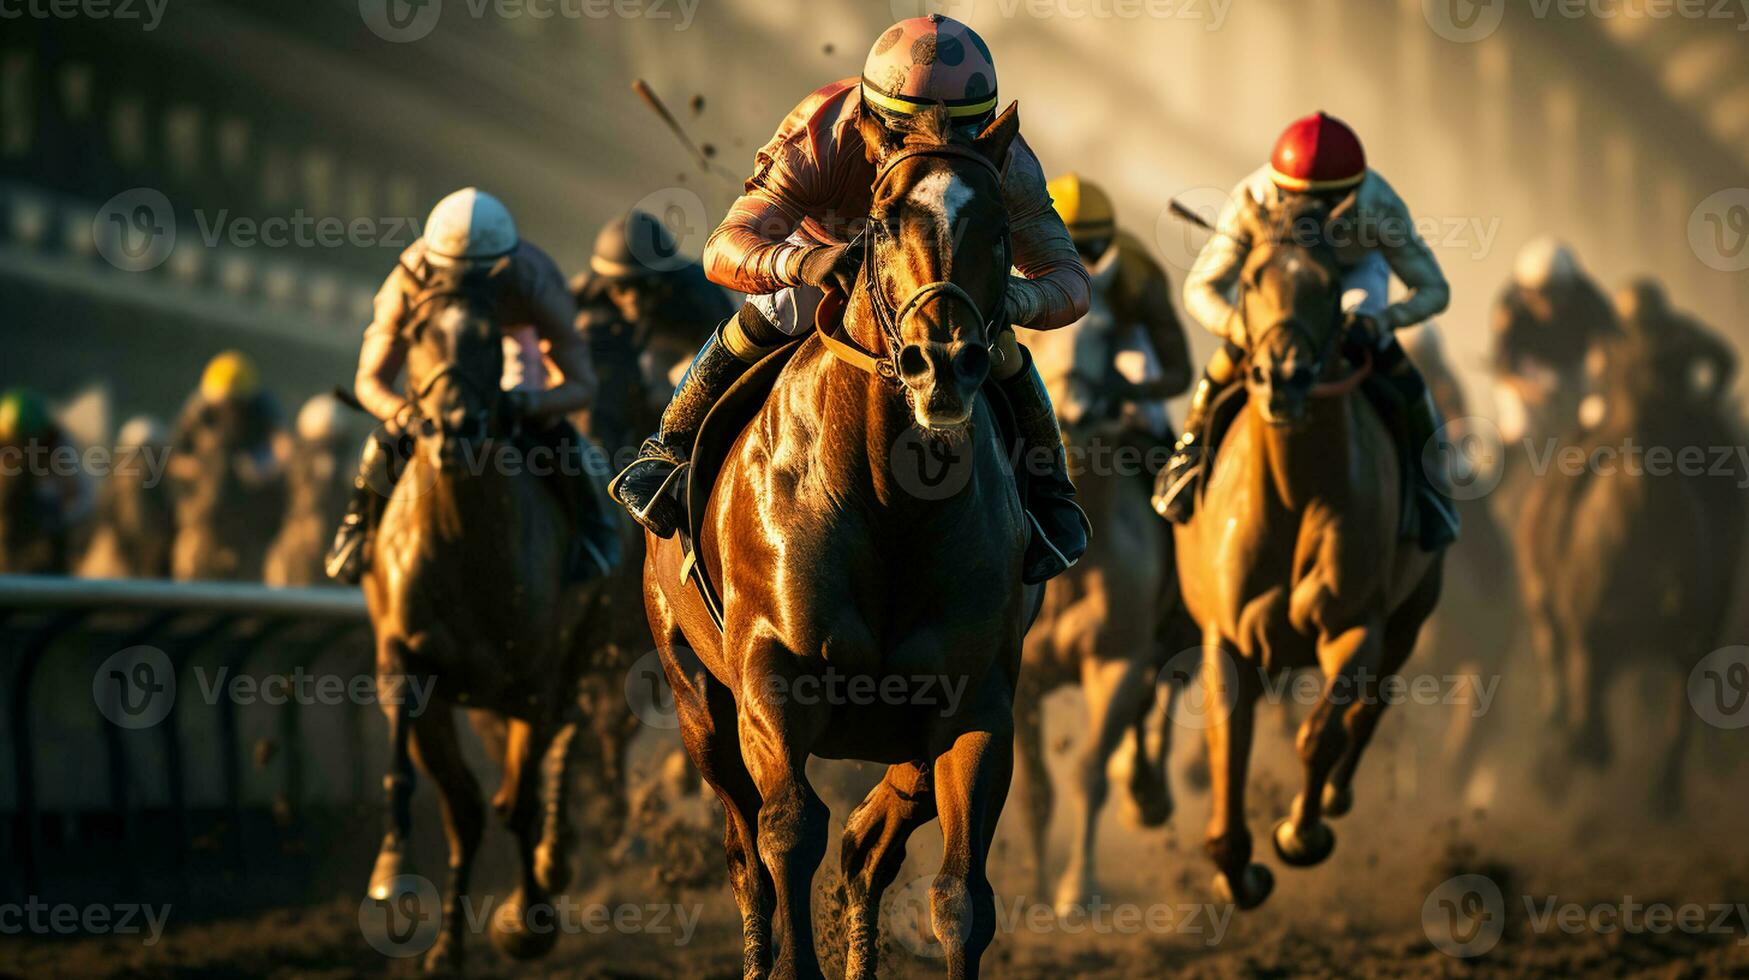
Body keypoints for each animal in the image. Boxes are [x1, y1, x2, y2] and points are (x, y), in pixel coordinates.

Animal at [358, 285, 598, 973]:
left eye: (492, 337)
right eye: (418, 334)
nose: (455, 424)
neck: (464, 543)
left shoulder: (534, 686)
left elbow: (515, 804)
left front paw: (529, 922)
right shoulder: (409, 663)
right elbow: (446, 800)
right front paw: (400, 885)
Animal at [654, 103, 1035, 973]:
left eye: (1000, 226)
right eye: (884, 219)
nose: (942, 364)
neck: (893, 503)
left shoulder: (978, 706)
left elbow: (961, 896)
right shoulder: (772, 673)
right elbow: (788, 832)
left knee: (870, 845)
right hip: (696, 697)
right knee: (745, 853)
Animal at [1175, 193, 1448, 910]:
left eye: (1328, 285)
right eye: (1249, 281)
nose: (1284, 378)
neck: (1295, 491)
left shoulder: (1357, 627)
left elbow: (1321, 731)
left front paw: (1300, 834)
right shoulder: (1226, 636)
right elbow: (1229, 746)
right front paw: (1236, 868)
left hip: (1412, 614)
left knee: (1370, 707)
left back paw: (1335, 798)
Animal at [1511, 336, 1742, 812]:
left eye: (1670, 384)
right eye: (1619, 385)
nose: (1638, 437)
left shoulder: (1695, 640)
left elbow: (1678, 718)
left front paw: (1665, 794)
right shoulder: (1586, 630)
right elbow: (1587, 706)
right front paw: (1580, 751)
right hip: (1540, 600)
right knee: (1556, 667)